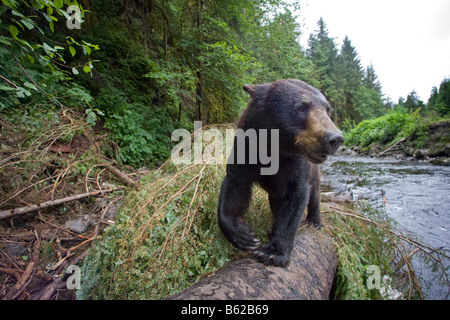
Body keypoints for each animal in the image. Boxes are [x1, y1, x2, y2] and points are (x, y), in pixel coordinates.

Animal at [220, 79, 342, 266]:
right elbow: (235, 186)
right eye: (301, 108)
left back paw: (314, 220)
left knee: (314, 195)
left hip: (314, 174)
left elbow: (295, 198)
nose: (334, 138)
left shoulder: (296, 166)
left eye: (327, 109)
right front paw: (244, 235)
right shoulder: (246, 150)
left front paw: (273, 252)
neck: (273, 148)